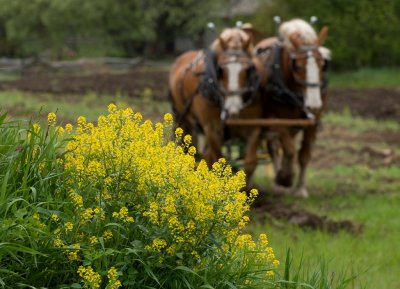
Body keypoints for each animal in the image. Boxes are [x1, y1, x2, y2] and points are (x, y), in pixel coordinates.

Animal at [169, 27, 262, 184]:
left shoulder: (253, 127)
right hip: (184, 118)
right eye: (221, 70)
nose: (233, 107)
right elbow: (219, 159)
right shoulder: (211, 128)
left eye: (247, 69)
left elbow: (249, 164)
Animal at [253, 18, 332, 198]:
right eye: (297, 66)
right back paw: (279, 182)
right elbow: (289, 150)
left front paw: (300, 188)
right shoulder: (276, 120)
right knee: (275, 148)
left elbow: (304, 154)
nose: (313, 104)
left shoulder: (313, 122)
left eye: (323, 64)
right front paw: (284, 178)